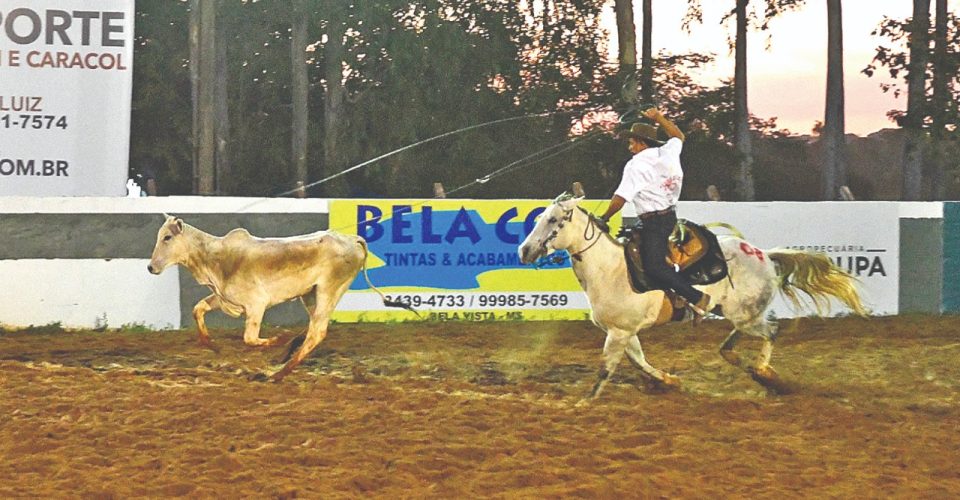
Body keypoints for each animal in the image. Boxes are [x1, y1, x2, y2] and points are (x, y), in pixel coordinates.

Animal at [520, 193, 868, 400]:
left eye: (553, 220)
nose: (524, 250)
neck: (609, 269)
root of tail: (765, 256)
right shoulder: (624, 332)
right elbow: (639, 360)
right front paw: (668, 381)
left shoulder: (618, 332)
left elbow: (607, 369)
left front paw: (585, 401)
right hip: (738, 313)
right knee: (739, 339)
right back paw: (741, 362)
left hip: (745, 314)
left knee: (771, 330)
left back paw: (764, 373)